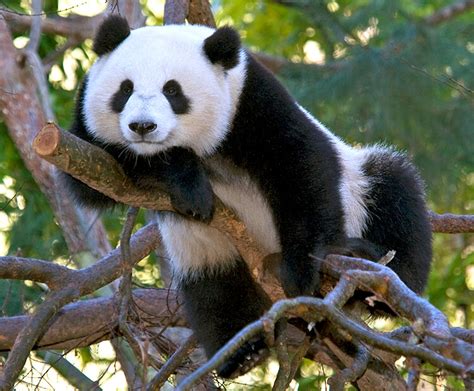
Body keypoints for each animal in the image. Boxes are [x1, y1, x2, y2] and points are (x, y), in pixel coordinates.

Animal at [63, 15, 434, 380]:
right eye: (124, 89)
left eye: (172, 90)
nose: (142, 127)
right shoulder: (88, 134)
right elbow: (90, 176)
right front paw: (189, 184)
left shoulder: (250, 101)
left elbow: (301, 166)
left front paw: (303, 272)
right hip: (210, 253)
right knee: (215, 289)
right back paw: (241, 352)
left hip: (361, 188)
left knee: (394, 190)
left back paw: (374, 271)